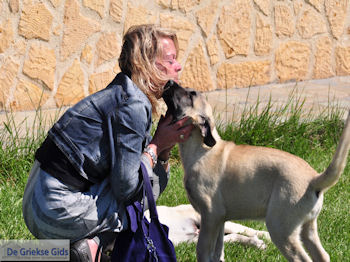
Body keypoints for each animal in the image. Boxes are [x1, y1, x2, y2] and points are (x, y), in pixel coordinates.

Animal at [162, 81, 350, 260]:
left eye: (191, 94)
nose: (169, 82)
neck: (200, 148)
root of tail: (313, 181)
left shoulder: (209, 216)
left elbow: (203, 251)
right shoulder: (220, 219)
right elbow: (218, 252)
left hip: (281, 228)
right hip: (307, 227)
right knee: (322, 255)